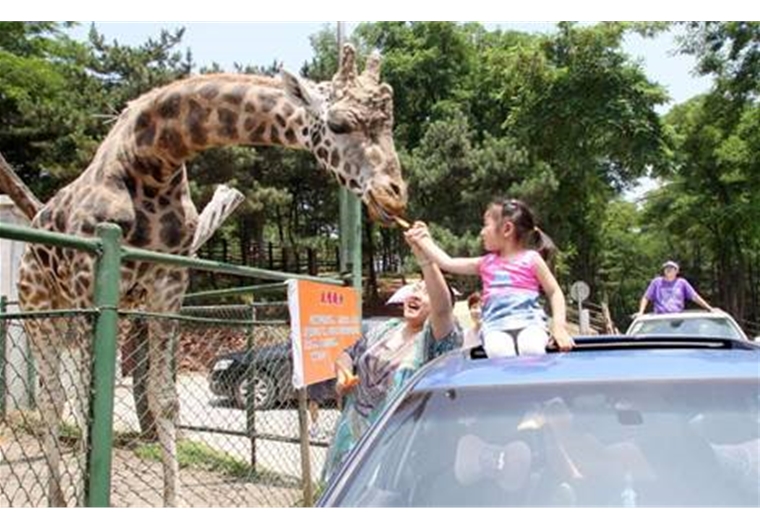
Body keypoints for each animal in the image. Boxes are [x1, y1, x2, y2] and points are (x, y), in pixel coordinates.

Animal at [16, 43, 404, 506]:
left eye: (390, 123)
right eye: (339, 123)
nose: (395, 195)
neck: (152, 161)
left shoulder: (168, 284)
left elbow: (164, 399)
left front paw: (172, 501)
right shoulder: (88, 282)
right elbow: (87, 402)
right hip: (42, 307)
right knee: (55, 397)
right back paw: (58, 497)